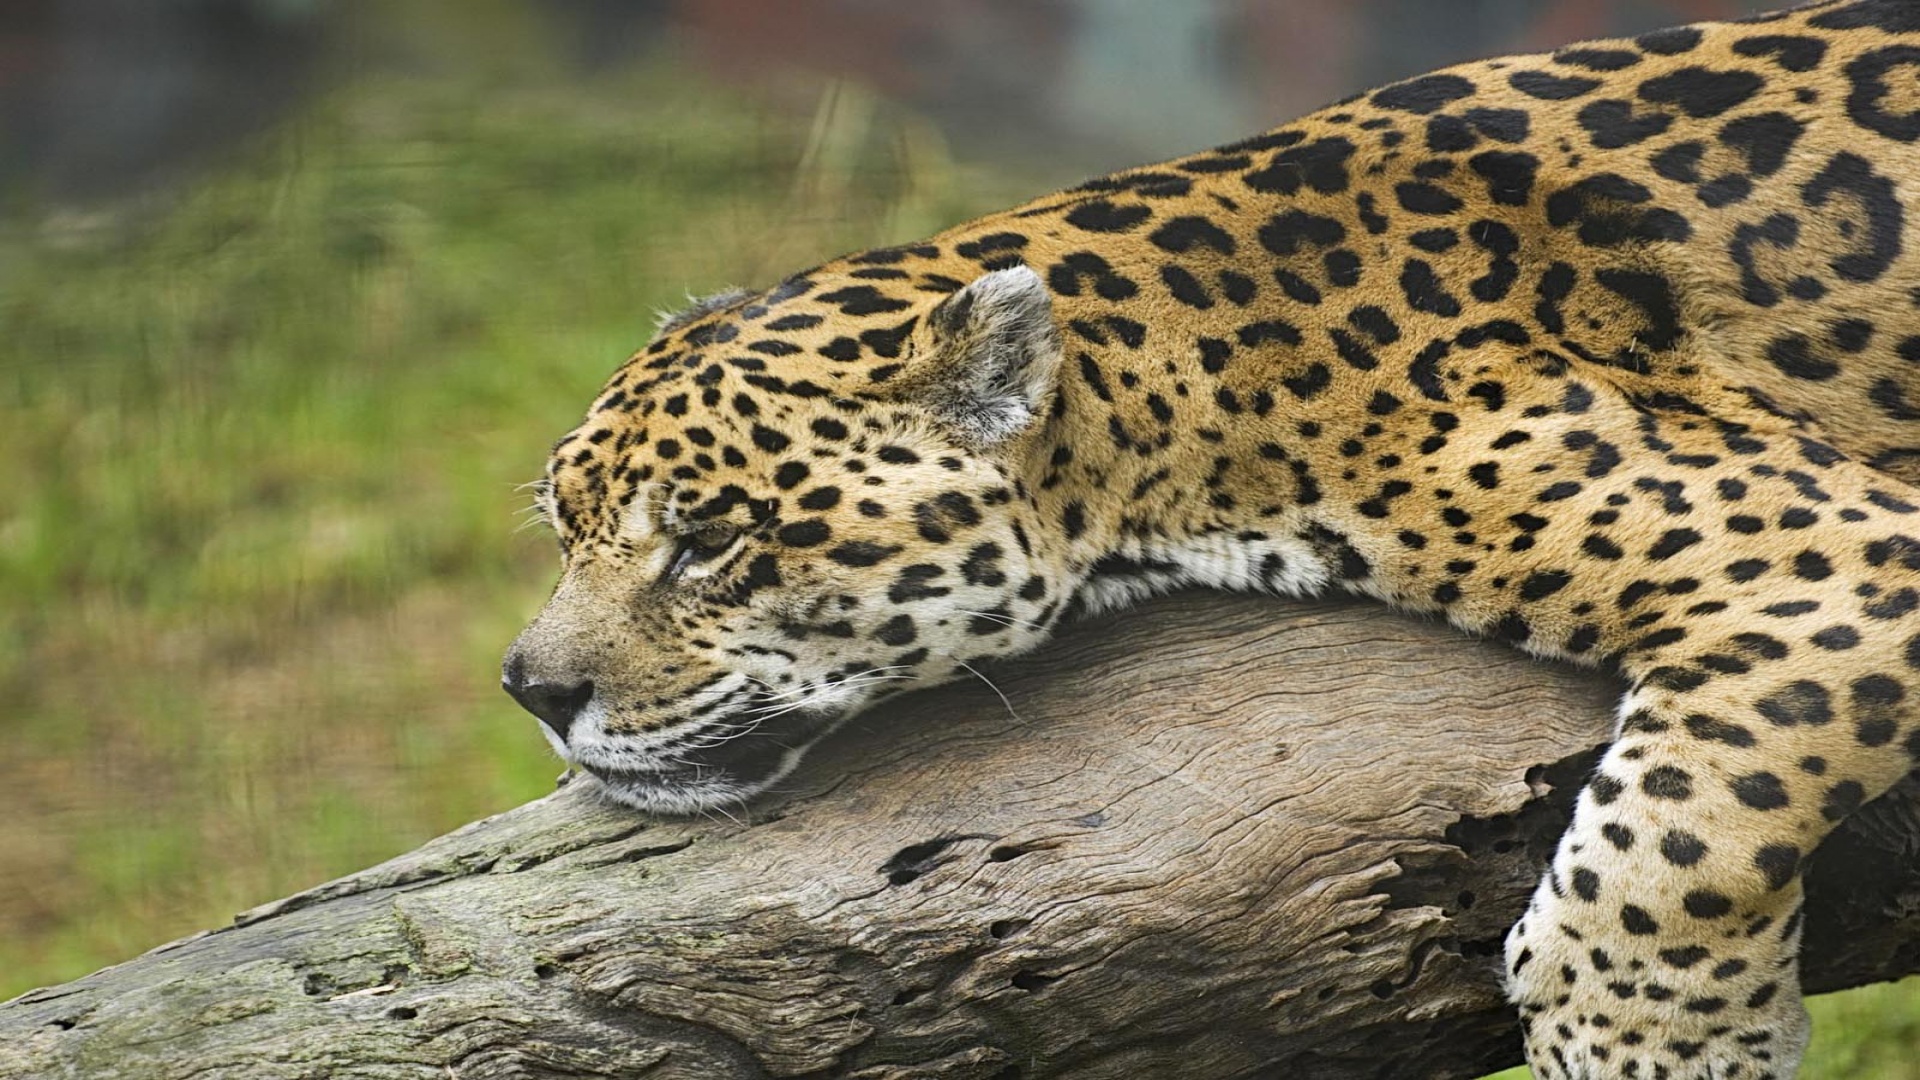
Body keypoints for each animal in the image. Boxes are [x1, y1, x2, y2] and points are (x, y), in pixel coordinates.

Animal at [504, 2, 1920, 1075]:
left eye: (708, 542)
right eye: (566, 529)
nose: (530, 691)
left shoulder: (1844, 549)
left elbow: (1681, 829)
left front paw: (1652, 1039)